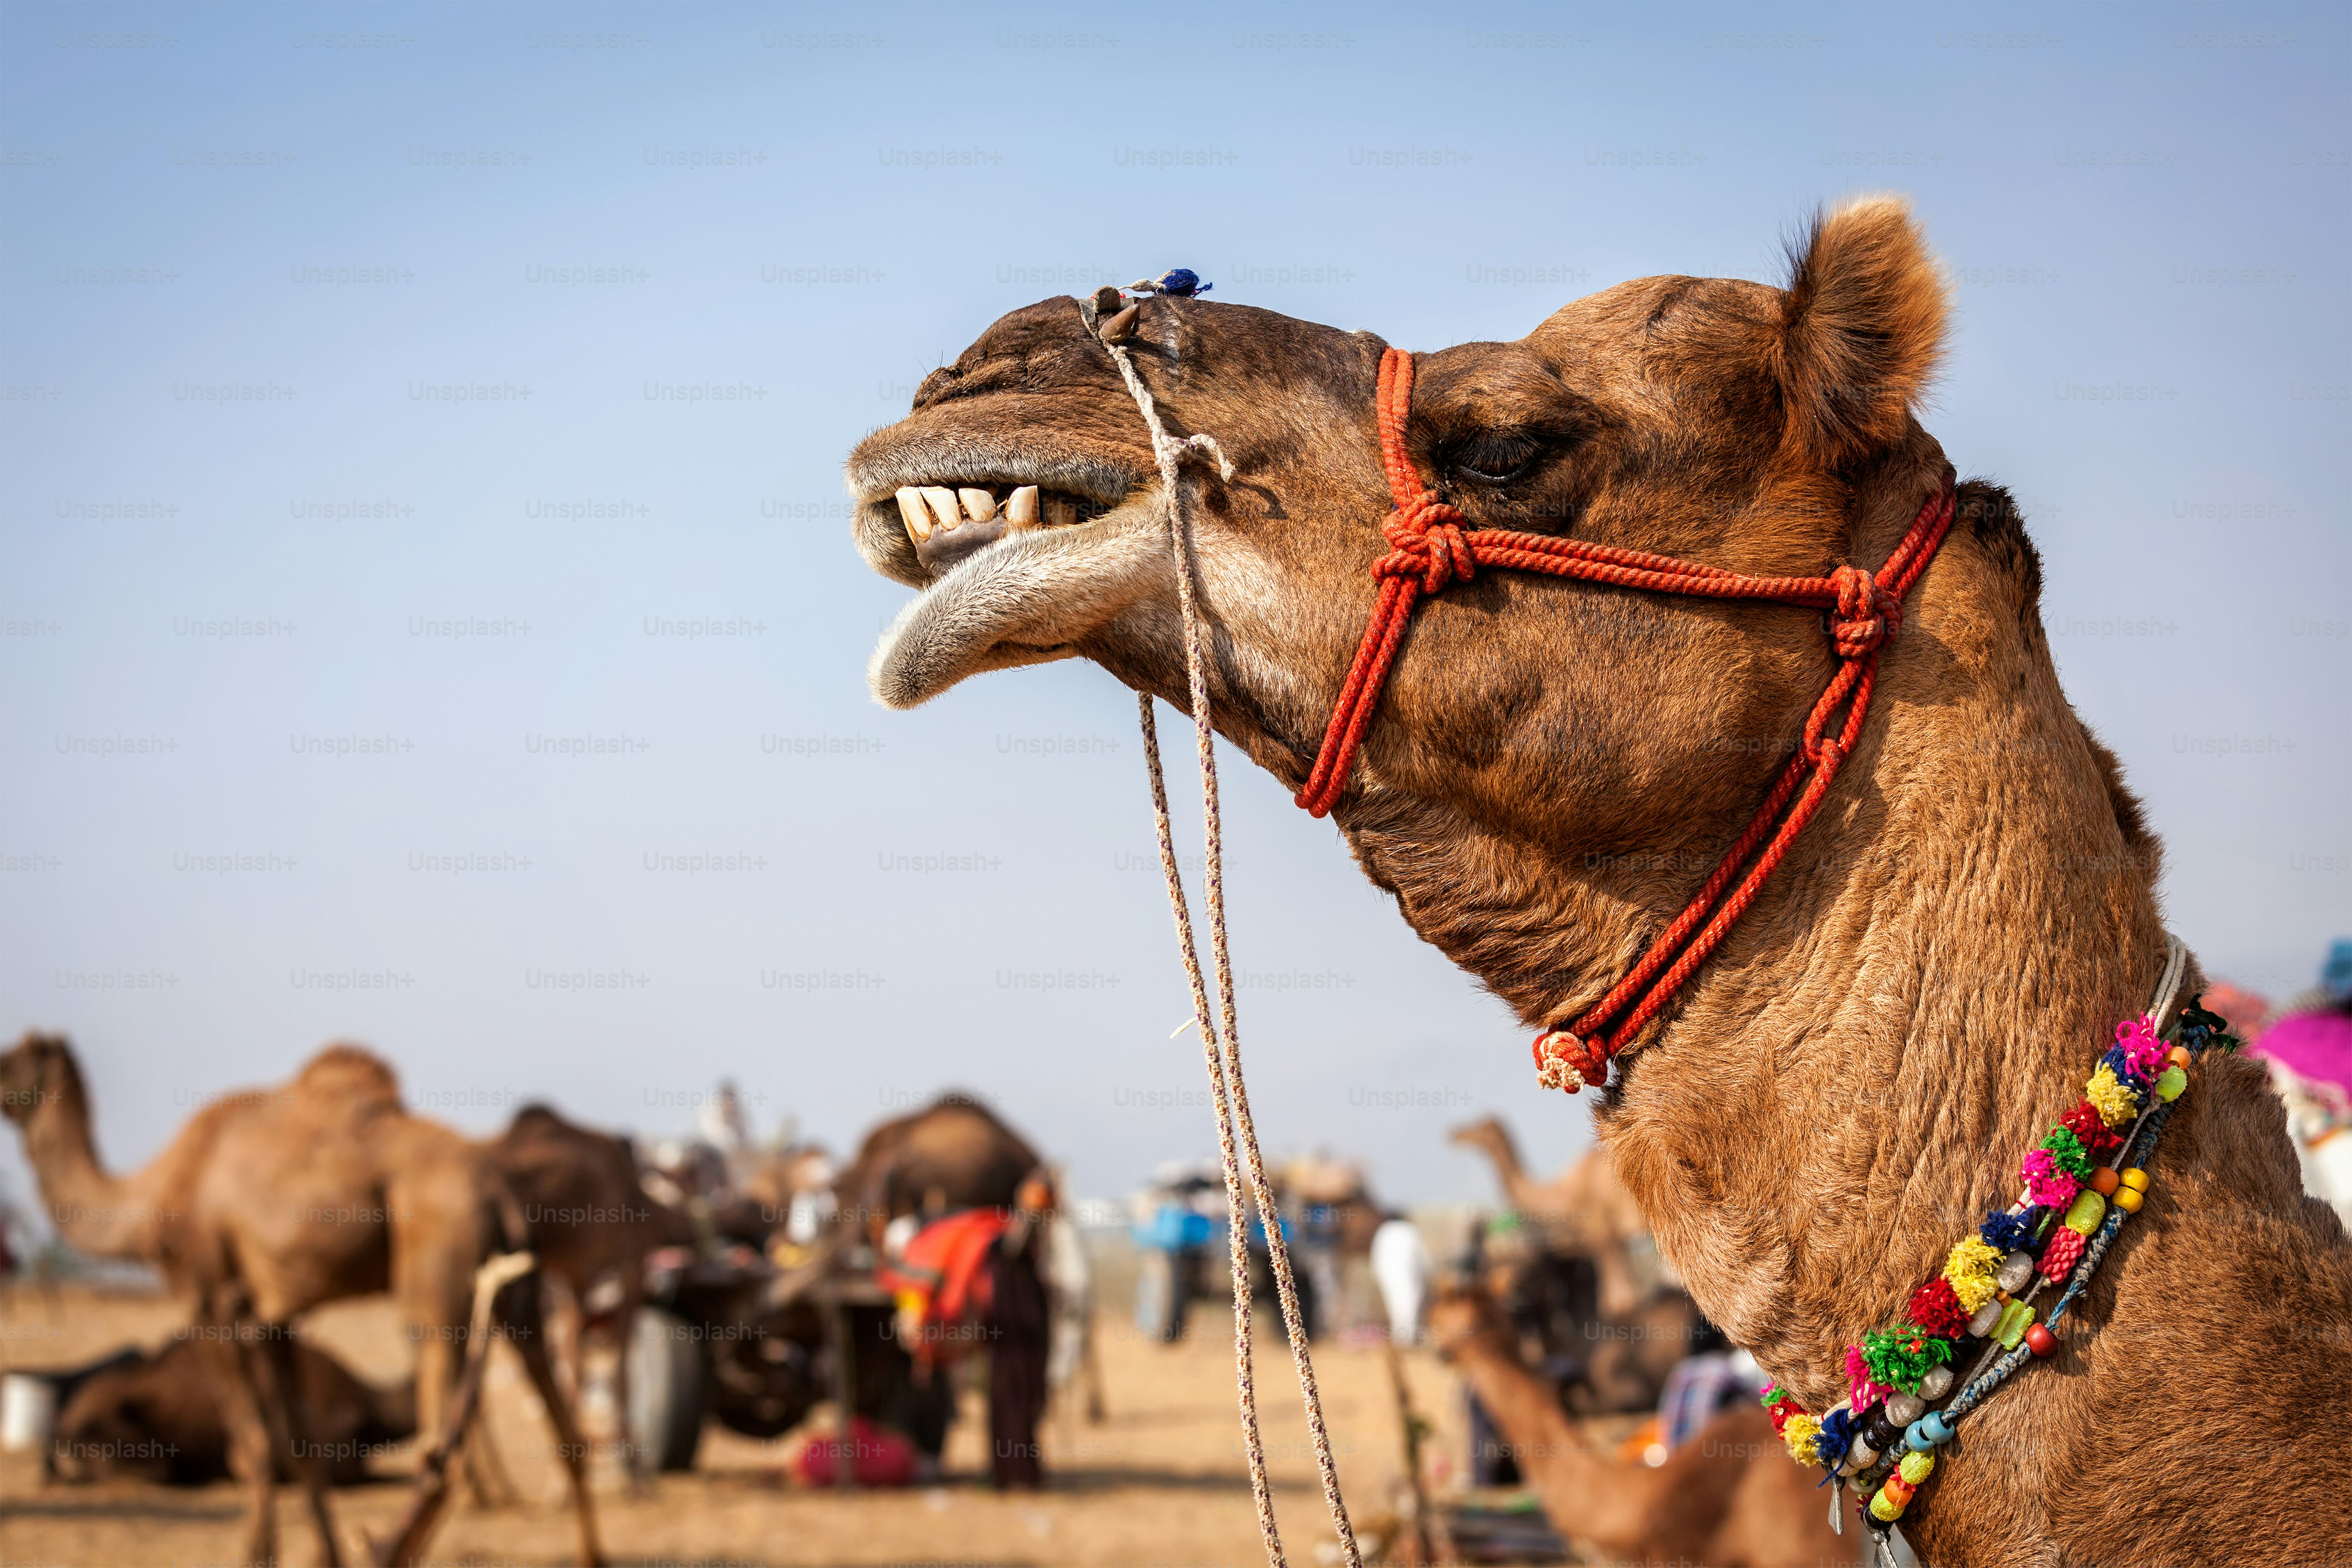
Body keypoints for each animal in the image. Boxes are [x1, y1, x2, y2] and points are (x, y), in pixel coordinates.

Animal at [0, 1033, 605, 1567]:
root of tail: (497, 1188)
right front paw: (323, 1556)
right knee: (567, 1435)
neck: (150, 1197)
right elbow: (298, 1441)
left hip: (436, 1275)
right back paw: (588, 1556)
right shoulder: (273, 1318)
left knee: (440, 1456)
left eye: (9, 1061)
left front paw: (255, 1556)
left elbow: (252, 1442)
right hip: (521, 1296)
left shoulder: (211, 1298)